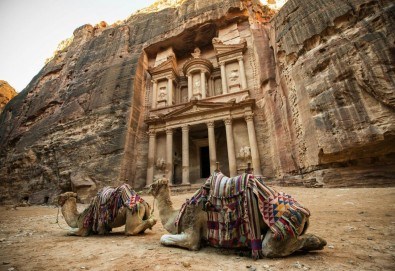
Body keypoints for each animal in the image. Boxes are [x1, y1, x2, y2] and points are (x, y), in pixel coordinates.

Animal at [149, 172, 328, 260]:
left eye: (153, 184)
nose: (146, 187)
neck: (176, 215)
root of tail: (304, 213)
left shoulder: (191, 229)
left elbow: (165, 238)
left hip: (284, 228)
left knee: (269, 248)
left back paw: (318, 241)